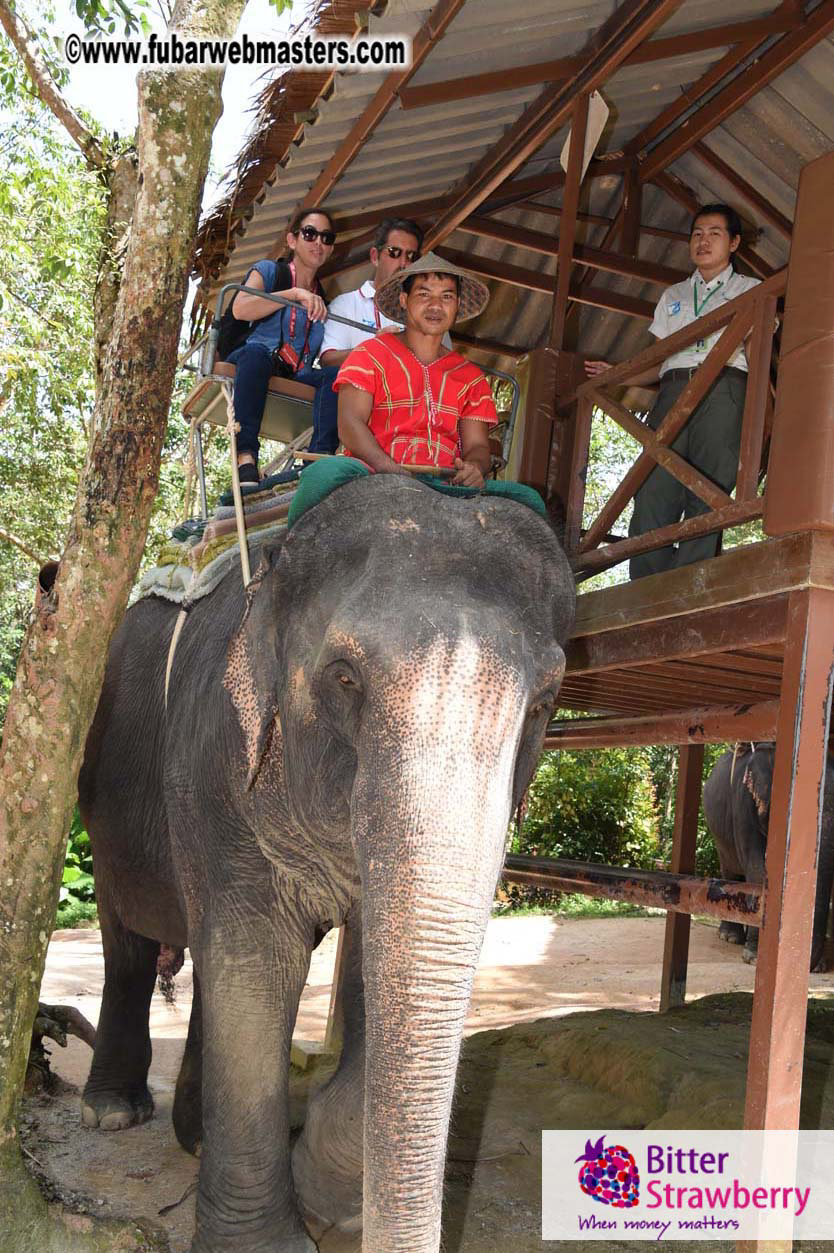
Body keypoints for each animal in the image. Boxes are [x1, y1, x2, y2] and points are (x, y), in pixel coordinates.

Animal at [77, 473, 575, 1253]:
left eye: (545, 702)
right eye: (343, 678)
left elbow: (377, 965)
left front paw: (324, 1188)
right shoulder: (213, 755)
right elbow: (259, 963)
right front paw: (270, 1238)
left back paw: (194, 1136)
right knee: (128, 939)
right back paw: (113, 1112)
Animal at [702, 743, 834, 972]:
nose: (813, 967)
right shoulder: (743, 804)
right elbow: (756, 867)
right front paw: (754, 957)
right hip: (719, 837)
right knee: (730, 872)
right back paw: (730, 937)